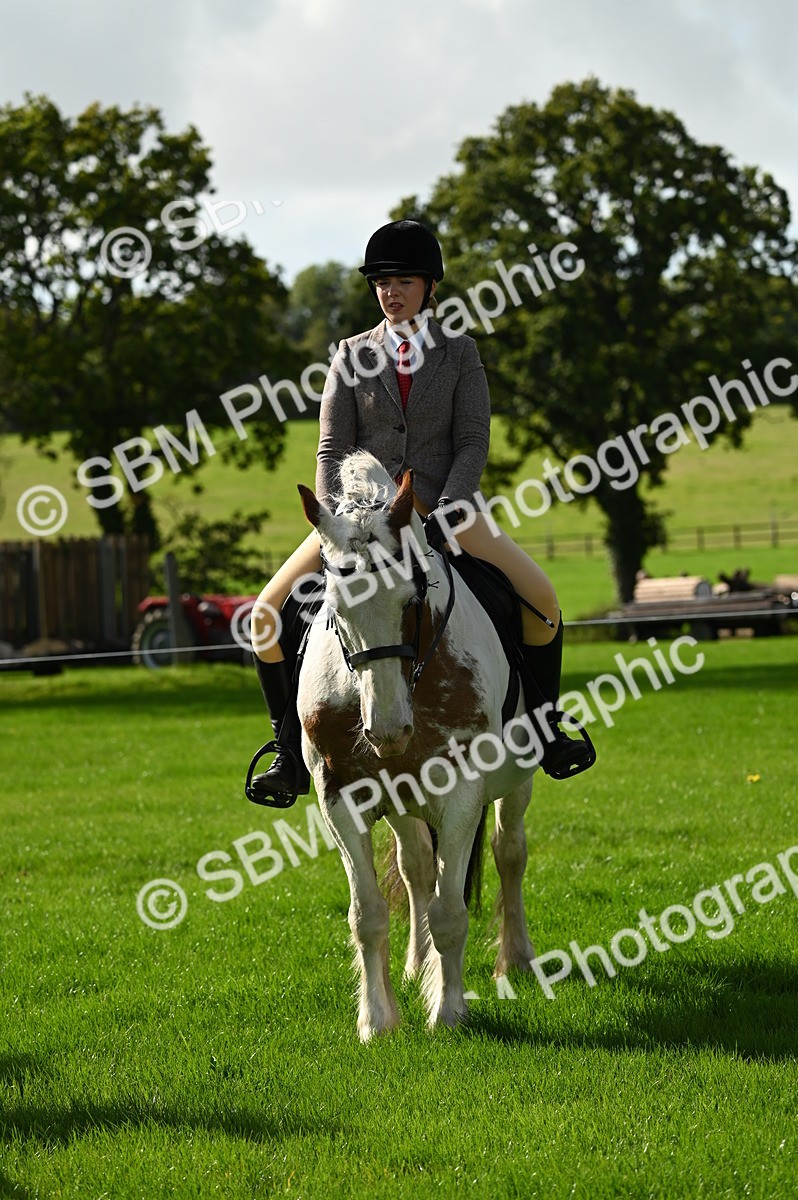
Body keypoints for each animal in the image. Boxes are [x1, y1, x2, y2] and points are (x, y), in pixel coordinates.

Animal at [296, 451, 541, 1041]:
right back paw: (414, 964)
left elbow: (451, 911)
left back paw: (516, 959)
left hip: (517, 781)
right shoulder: (339, 797)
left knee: (509, 852)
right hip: (401, 803)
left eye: (412, 598)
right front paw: (376, 1021)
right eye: (334, 606)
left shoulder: (462, 793)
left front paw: (448, 1014)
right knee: (416, 868)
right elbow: (367, 915)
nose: (387, 730)